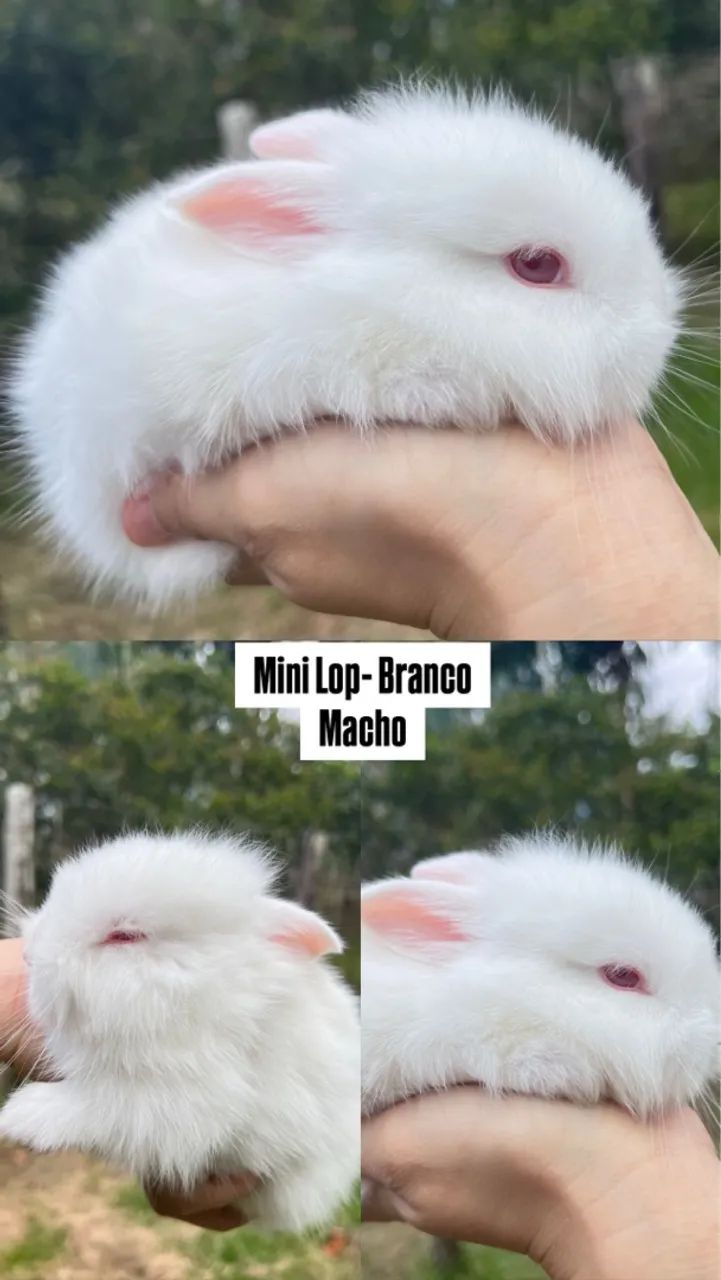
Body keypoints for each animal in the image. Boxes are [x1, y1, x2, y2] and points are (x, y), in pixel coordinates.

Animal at [0, 831, 360, 1232]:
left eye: (125, 936)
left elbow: (100, 1107)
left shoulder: (178, 1105)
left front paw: (19, 1116)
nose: (29, 956)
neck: (195, 999)